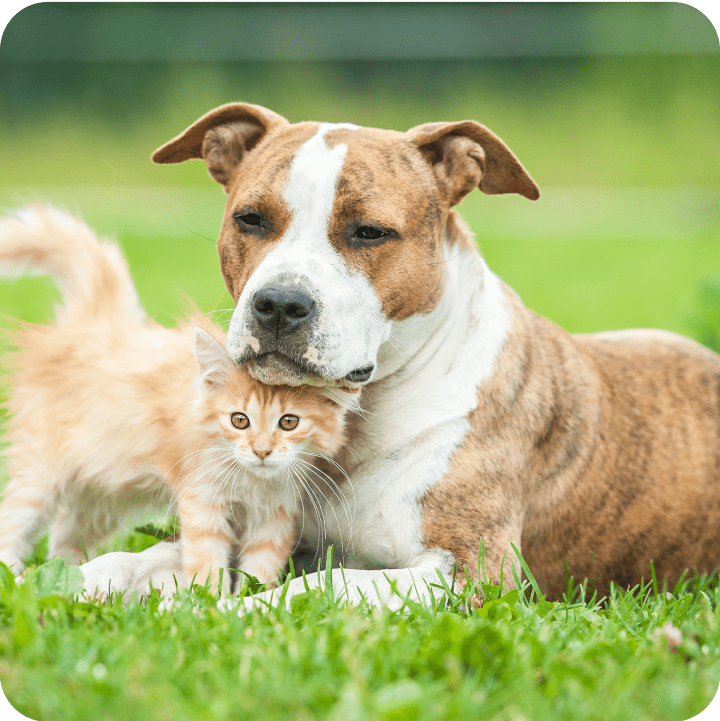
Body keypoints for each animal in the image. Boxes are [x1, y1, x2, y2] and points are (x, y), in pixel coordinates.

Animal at [0, 207, 354, 592]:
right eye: (239, 420)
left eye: (289, 422)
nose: (262, 451)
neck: (251, 480)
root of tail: (94, 322)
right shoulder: (201, 501)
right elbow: (208, 562)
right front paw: (213, 600)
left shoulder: (274, 515)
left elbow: (259, 569)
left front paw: (252, 598)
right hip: (40, 472)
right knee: (14, 522)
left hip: (99, 489)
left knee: (66, 536)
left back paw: (68, 573)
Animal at [76, 102, 716, 608]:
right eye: (250, 219)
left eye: (370, 232)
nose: (278, 304)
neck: (357, 419)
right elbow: (139, 559)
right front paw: (77, 582)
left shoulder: (470, 572)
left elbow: (320, 586)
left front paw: (227, 614)